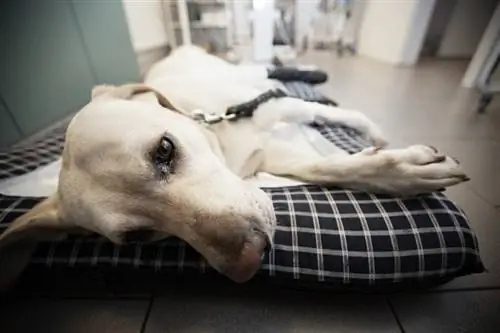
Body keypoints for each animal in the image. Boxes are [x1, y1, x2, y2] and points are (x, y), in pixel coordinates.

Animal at [0, 45, 468, 290]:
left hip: (255, 80)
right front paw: (400, 171)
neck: (217, 133)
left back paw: (315, 79)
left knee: (276, 72)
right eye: (137, 238)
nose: (248, 260)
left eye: (164, 150)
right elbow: (332, 167)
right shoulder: (270, 154)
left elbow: (343, 120)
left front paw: (382, 141)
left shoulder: (275, 109)